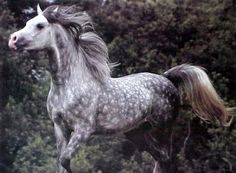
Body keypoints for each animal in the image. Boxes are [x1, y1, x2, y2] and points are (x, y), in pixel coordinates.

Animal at [8, 4, 229, 172]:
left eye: (39, 25)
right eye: (27, 23)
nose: (13, 39)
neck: (69, 84)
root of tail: (167, 79)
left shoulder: (83, 130)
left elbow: (65, 160)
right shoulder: (60, 127)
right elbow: (60, 163)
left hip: (163, 129)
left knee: (166, 159)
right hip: (137, 134)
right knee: (159, 158)